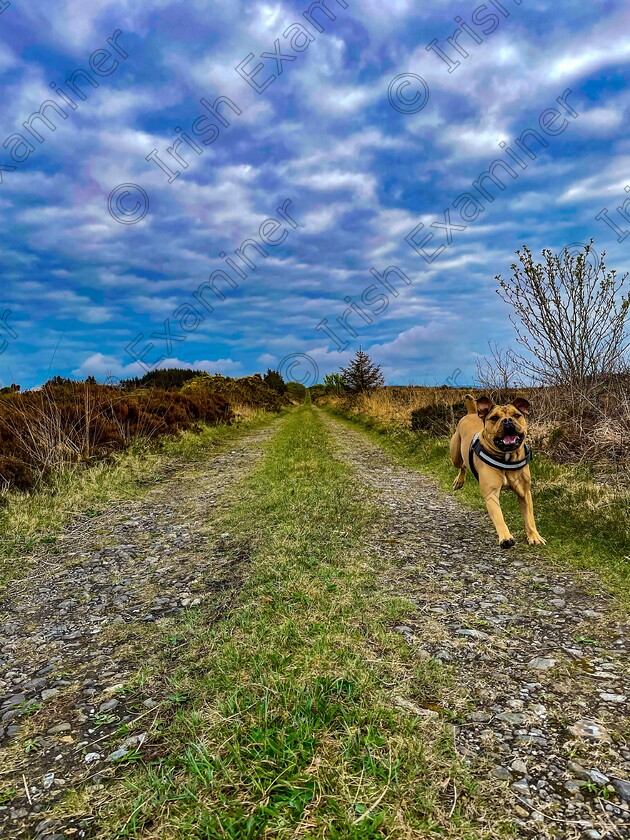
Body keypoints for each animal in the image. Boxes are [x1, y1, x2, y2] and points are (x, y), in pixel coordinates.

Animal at [450, 396, 548, 552]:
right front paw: (506, 538)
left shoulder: (525, 492)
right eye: (494, 418)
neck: (507, 457)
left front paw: (534, 537)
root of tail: (471, 413)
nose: (507, 420)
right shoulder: (491, 493)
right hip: (455, 456)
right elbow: (498, 516)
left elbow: (529, 517)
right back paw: (458, 482)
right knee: (463, 465)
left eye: (516, 415)